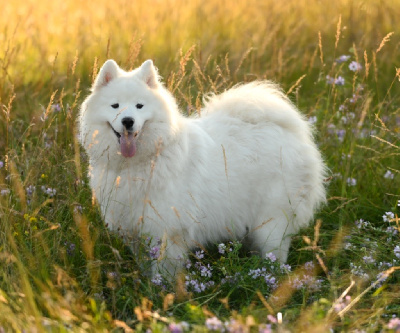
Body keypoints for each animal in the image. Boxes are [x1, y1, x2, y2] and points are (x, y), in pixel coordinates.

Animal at [79, 59, 326, 274]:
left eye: (140, 106)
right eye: (115, 106)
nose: (128, 121)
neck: (140, 162)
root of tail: (289, 131)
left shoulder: (169, 230)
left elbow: (164, 270)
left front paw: (162, 291)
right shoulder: (135, 229)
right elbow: (145, 264)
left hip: (272, 222)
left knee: (276, 254)